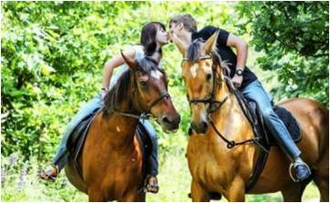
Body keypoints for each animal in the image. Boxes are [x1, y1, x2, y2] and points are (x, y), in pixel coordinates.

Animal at [63, 54, 180, 201]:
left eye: (166, 81)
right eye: (143, 83)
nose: (173, 119)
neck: (116, 144)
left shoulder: (132, 194)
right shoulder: (95, 193)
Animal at [174, 31, 328, 201]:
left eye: (208, 75)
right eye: (183, 77)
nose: (199, 124)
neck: (211, 139)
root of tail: (320, 107)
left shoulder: (235, 188)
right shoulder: (198, 188)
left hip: (323, 178)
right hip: (291, 187)